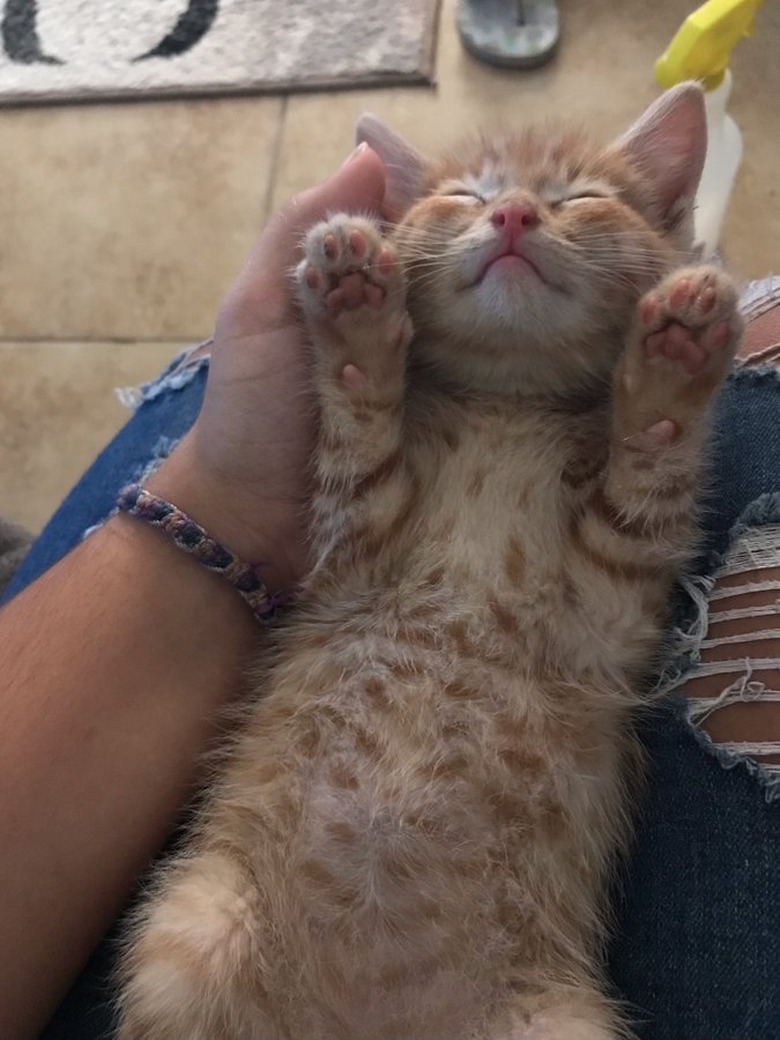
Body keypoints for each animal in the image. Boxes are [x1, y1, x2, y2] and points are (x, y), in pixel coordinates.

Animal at [117, 87, 744, 1040]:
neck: (507, 410)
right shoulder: (354, 537)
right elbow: (357, 422)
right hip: (187, 934)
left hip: (560, 1024)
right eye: (465, 195)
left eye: (579, 198)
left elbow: (651, 476)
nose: (514, 214)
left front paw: (677, 362)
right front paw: (352, 313)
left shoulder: (612, 600)